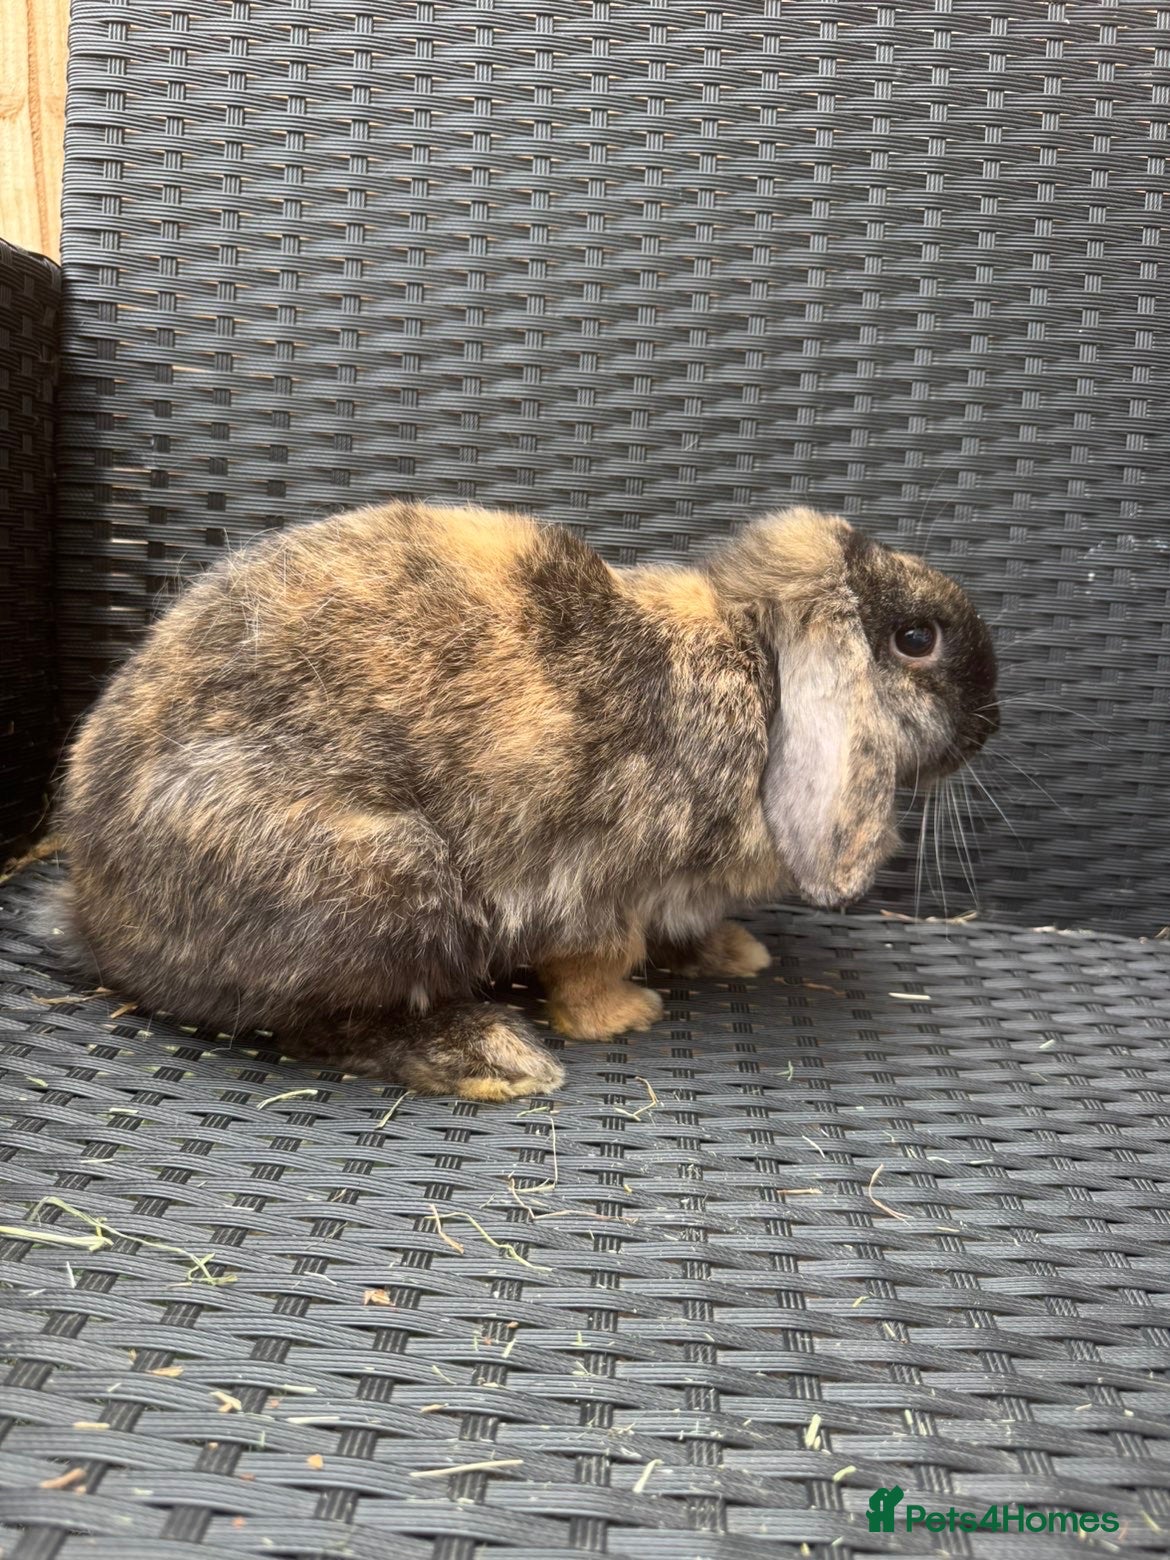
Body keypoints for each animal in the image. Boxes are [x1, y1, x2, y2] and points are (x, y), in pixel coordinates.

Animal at [57, 501, 998, 1099]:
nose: (991, 723)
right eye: (916, 639)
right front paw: (623, 1017)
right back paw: (493, 1060)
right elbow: (594, 962)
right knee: (308, 1026)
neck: (755, 669)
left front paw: (732, 954)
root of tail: (95, 919)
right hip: (383, 886)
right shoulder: (597, 887)